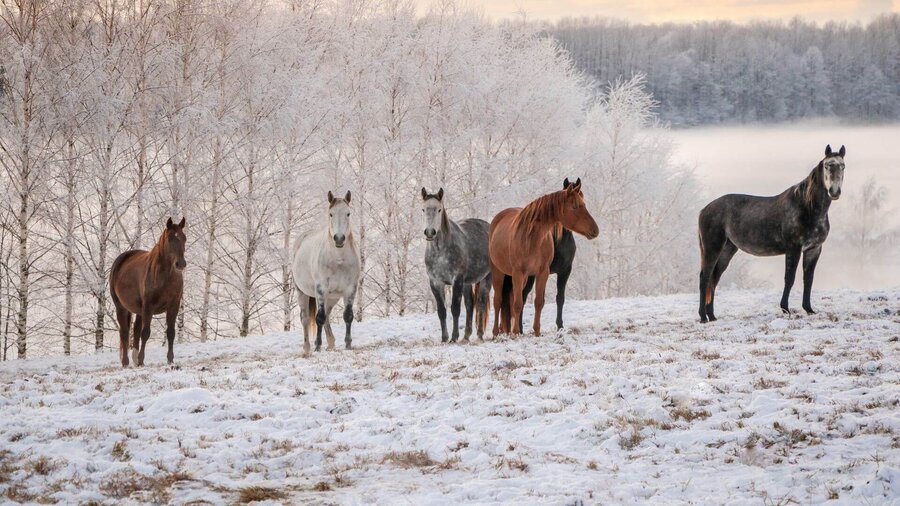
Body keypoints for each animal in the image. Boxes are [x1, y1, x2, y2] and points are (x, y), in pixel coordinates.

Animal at [110, 217, 187, 367]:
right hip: (121, 307)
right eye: (170, 239)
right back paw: (126, 362)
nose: (181, 264)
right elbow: (145, 333)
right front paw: (141, 360)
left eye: (184, 238)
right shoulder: (149, 306)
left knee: (135, 330)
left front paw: (170, 360)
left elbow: (171, 332)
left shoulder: (174, 305)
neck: (165, 276)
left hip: (139, 310)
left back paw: (133, 359)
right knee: (124, 332)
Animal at [291, 191, 360, 353]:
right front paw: (317, 345)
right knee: (305, 319)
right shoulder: (321, 288)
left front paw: (348, 344)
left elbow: (348, 316)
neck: (338, 259)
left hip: (332, 297)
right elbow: (319, 318)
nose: (339, 239)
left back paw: (331, 343)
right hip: (303, 292)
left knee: (328, 315)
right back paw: (307, 348)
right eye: (331, 214)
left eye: (348, 213)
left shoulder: (351, 289)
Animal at [421, 187, 492, 343]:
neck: (440, 251)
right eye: (423, 209)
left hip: (488, 277)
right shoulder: (435, 282)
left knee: (481, 302)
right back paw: (466, 336)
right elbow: (442, 311)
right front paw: (444, 338)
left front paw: (453, 337)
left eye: (439, 209)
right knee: (470, 304)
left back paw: (479, 335)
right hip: (467, 283)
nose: (430, 232)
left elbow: (455, 308)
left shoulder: (457, 280)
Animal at [697, 144, 846, 323]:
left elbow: (808, 279)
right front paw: (785, 309)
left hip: (727, 249)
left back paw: (712, 316)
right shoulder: (793, 249)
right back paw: (703, 317)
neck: (807, 207)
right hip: (713, 248)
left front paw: (809, 309)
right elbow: (789, 278)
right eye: (827, 166)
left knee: (714, 278)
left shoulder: (814, 249)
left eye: (842, 166)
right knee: (705, 278)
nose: (834, 191)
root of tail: (705, 209)